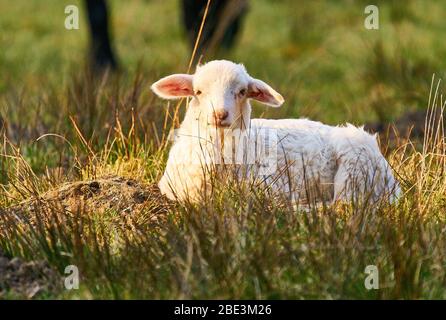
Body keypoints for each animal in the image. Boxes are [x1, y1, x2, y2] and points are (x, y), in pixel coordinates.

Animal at [152, 59, 398, 204]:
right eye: (199, 92)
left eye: (242, 91)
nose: (220, 115)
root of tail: (394, 186)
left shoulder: (271, 188)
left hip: (355, 169)